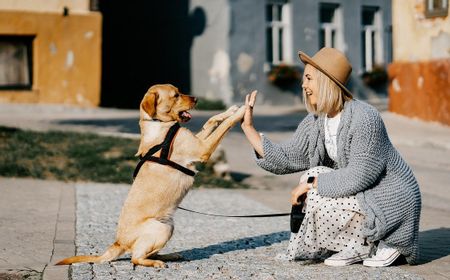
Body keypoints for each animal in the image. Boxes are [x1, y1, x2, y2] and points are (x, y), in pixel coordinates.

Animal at [57, 84, 246, 268]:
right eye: (176, 95)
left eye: (179, 91)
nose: (197, 99)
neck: (159, 124)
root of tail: (118, 242)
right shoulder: (202, 149)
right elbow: (224, 126)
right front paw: (241, 112)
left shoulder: (198, 141)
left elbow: (211, 120)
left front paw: (230, 110)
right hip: (161, 228)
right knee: (135, 258)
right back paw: (155, 262)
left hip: (169, 226)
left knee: (147, 253)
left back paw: (169, 256)